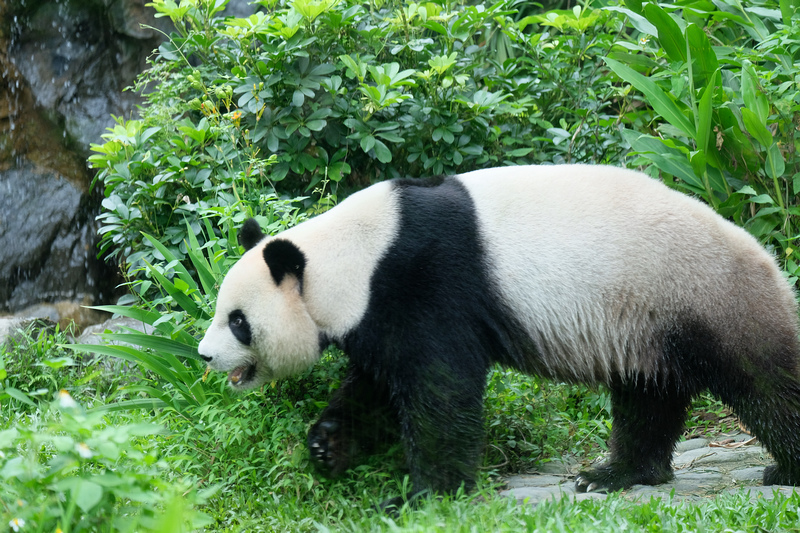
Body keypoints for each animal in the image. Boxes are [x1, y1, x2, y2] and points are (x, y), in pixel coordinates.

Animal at [198, 164, 800, 504]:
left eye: (238, 321)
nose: (204, 356)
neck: (347, 256)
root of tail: (767, 257)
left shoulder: (424, 280)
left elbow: (440, 389)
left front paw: (424, 495)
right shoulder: (375, 310)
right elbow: (376, 389)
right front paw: (327, 446)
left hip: (704, 292)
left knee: (764, 379)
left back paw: (783, 467)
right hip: (646, 321)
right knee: (647, 395)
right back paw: (615, 474)